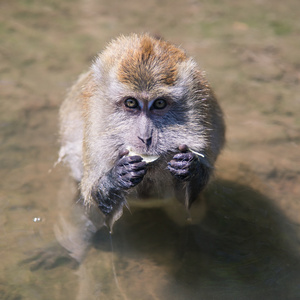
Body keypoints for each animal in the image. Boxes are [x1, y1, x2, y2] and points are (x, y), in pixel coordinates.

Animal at [58, 34, 225, 233]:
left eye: (159, 103)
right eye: (131, 103)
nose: (145, 138)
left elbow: (190, 198)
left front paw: (189, 166)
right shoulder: (94, 135)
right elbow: (93, 193)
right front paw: (118, 176)